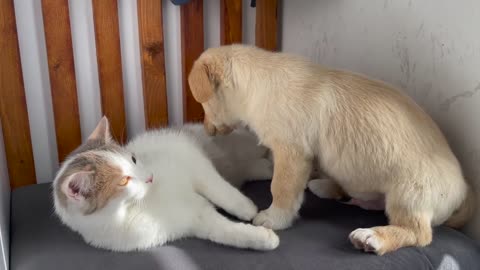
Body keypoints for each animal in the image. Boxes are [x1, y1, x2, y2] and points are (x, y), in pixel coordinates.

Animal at [52, 117, 278, 252]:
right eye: (124, 180)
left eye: (133, 159)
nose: (150, 177)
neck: (147, 200)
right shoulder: (194, 221)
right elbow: (226, 232)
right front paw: (263, 238)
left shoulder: (191, 160)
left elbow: (218, 188)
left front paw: (245, 208)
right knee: (254, 165)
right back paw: (267, 167)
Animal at [186, 44, 474, 255]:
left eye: (204, 105)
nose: (205, 129)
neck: (257, 84)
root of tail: (465, 191)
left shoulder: (292, 152)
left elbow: (281, 187)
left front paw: (274, 217)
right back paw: (325, 187)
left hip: (409, 192)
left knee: (417, 233)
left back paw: (372, 237)